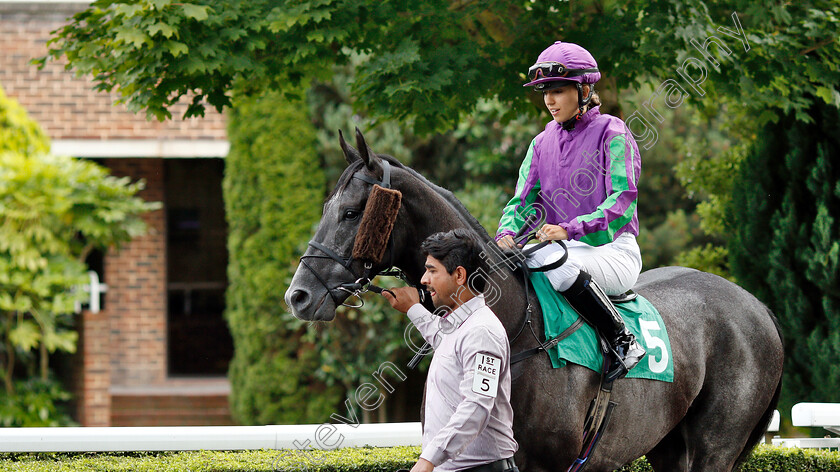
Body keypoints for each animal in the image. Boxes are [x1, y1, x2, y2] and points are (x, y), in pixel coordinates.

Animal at [286, 130, 784, 472]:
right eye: (328, 207)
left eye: (352, 213)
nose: (298, 296)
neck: (514, 326)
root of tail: (759, 308)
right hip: (668, 446)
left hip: (716, 446)